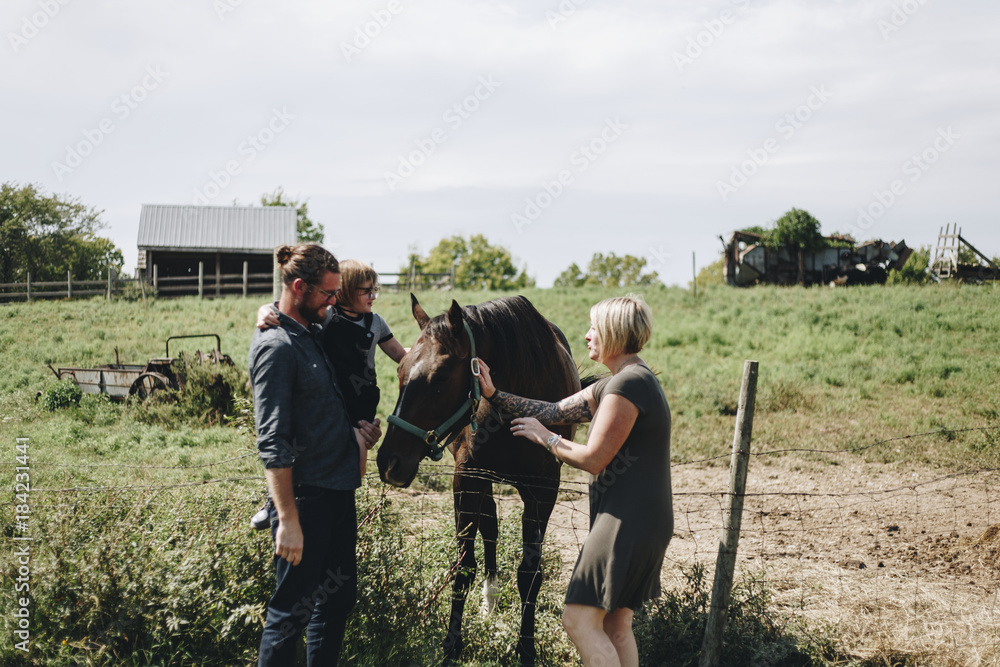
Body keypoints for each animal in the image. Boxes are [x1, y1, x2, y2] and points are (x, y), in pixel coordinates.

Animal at [376, 296, 580, 667]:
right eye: (400, 371)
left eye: (441, 376)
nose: (389, 462)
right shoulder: (468, 477)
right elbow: (464, 566)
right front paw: (452, 645)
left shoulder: (543, 489)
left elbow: (530, 573)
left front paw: (526, 649)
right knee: (490, 527)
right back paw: (490, 600)